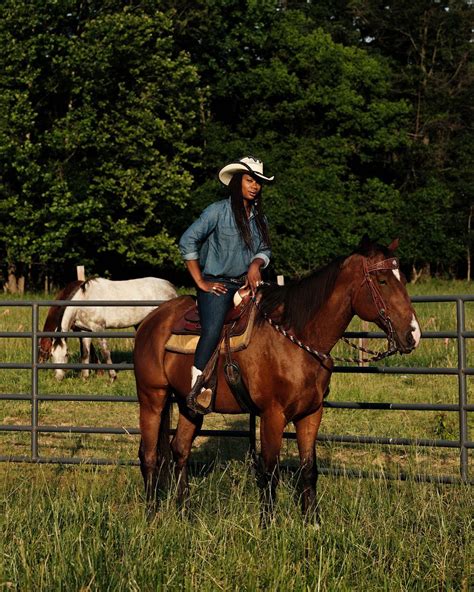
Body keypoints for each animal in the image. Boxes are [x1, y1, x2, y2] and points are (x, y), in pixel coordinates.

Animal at [39, 276, 178, 382]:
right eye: (52, 354)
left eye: (66, 354)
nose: (58, 377)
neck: (85, 300)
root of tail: (170, 287)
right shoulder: (85, 331)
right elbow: (85, 353)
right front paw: (85, 378)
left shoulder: (98, 328)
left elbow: (105, 352)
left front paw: (112, 377)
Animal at [134, 237, 422, 524]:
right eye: (382, 280)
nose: (414, 335)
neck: (295, 339)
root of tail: (151, 320)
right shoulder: (272, 415)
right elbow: (270, 471)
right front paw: (268, 524)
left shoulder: (311, 414)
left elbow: (309, 468)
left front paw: (312, 522)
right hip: (152, 398)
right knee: (149, 455)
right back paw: (150, 514)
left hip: (189, 406)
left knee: (179, 449)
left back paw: (185, 513)